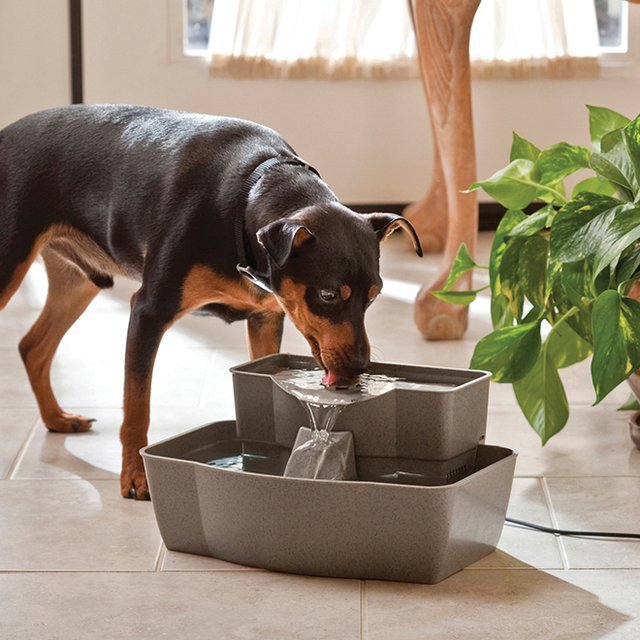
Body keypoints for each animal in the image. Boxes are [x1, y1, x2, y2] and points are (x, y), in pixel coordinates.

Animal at [1, 105, 424, 500]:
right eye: (329, 295)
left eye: (375, 295)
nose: (360, 366)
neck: (249, 194)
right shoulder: (148, 311)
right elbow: (136, 406)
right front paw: (136, 476)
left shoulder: (265, 317)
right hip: (10, 267)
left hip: (78, 281)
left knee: (32, 346)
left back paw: (57, 418)